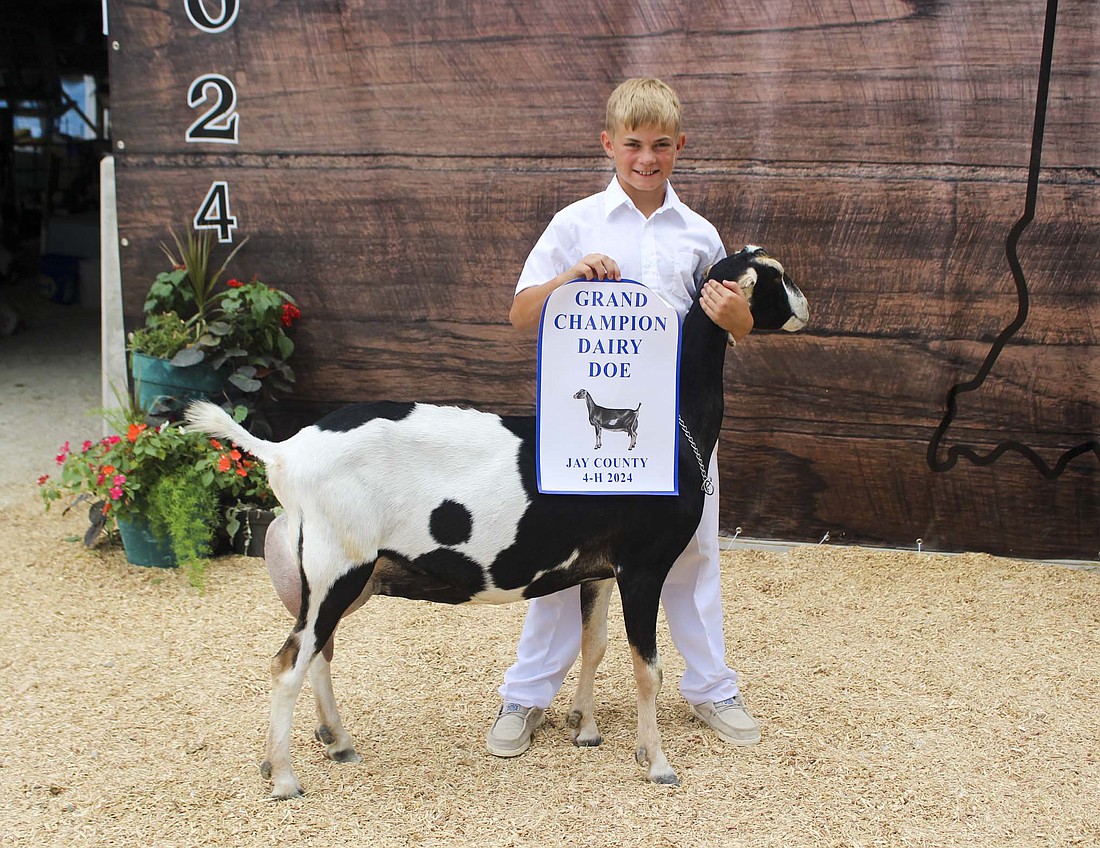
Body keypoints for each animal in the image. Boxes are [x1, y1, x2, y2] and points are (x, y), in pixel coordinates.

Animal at [187, 244, 809, 796]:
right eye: (775, 275)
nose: (807, 306)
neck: (676, 428)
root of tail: (285, 453)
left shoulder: (601, 570)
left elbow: (594, 646)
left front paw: (586, 728)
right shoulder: (643, 568)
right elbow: (647, 669)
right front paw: (656, 764)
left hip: (337, 579)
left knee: (316, 654)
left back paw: (336, 742)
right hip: (336, 569)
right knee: (288, 664)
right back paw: (284, 778)